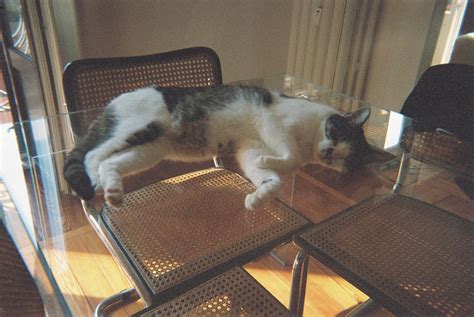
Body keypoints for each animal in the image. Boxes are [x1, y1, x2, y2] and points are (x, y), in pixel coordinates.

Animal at [63, 84, 372, 210]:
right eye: (336, 132)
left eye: (347, 160)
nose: (330, 153)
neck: (309, 139)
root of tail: (110, 103)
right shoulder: (271, 120)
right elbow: (290, 156)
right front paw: (274, 162)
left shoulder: (249, 147)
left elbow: (271, 180)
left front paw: (257, 198)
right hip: (139, 126)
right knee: (93, 155)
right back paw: (97, 183)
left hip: (150, 149)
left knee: (109, 162)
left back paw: (113, 191)